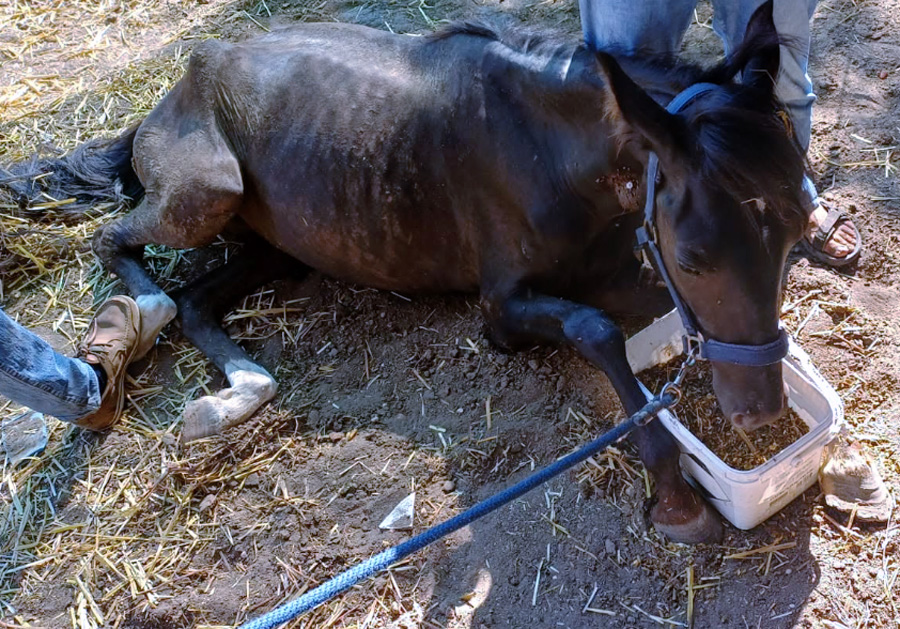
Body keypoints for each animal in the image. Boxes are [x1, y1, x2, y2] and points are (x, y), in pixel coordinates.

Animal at [5, 1, 809, 543]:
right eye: (696, 257)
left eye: (798, 230)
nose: (759, 414)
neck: (551, 147)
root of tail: (179, 85)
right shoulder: (501, 309)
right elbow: (598, 328)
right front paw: (674, 491)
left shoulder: (626, 261)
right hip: (208, 192)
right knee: (120, 247)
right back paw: (140, 318)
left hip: (277, 243)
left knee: (201, 303)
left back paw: (233, 396)